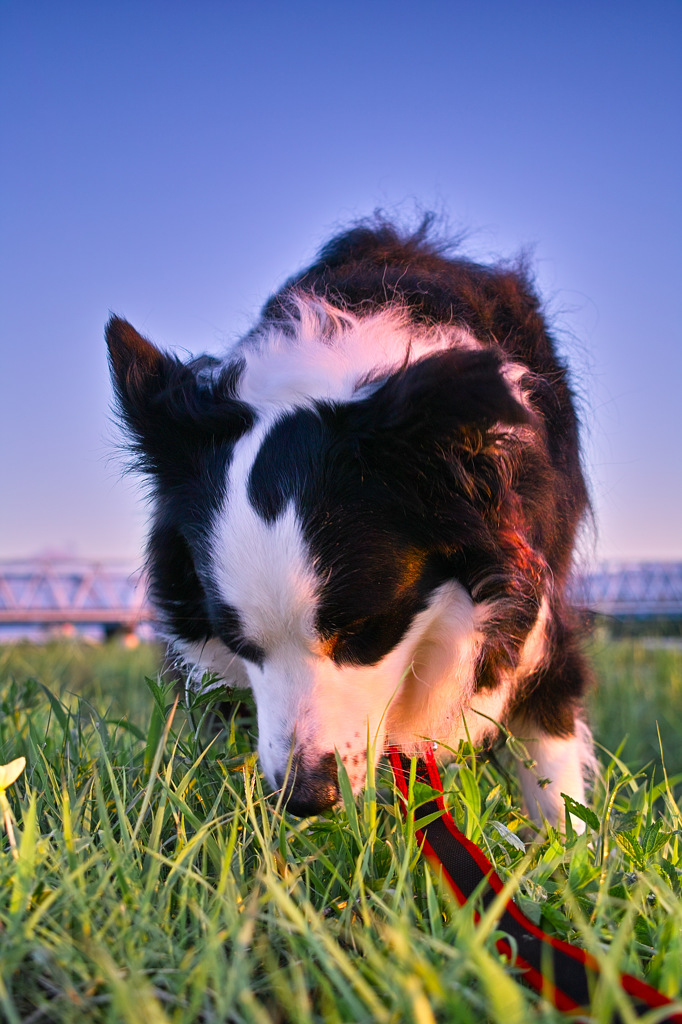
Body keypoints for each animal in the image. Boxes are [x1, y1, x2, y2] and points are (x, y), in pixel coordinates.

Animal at [106, 218, 589, 823]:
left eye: (363, 632)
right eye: (239, 642)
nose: (307, 798)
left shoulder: (532, 600)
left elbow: (553, 760)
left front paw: (569, 843)